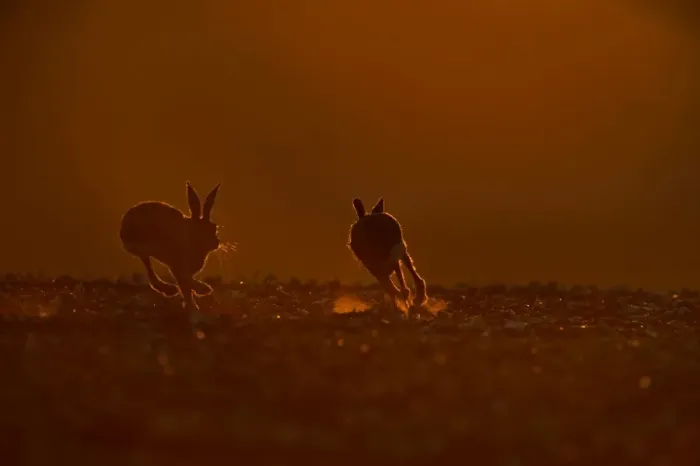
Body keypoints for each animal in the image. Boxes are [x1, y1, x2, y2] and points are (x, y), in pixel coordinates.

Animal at [119, 182, 222, 316]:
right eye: (198, 230)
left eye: (214, 227)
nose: (216, 243)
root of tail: (124, 221)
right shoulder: (176, 265)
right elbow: (185, 282)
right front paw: (203, 292)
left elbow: (187, 285)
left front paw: (193, 303)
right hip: (142, 247)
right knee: (149, 268)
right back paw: (170, 290)